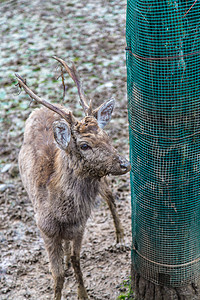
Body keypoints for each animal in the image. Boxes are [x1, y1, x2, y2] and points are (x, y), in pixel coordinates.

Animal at [16, 56, 131, 300]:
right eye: (84, 145)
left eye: (107, 136)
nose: (125, 163)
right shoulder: (45, 229)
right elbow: (57, 274)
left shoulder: (80, 226)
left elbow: (77, 260)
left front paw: (83, 295)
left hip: (102, 178)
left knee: (110, 197)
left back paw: (120, 240)